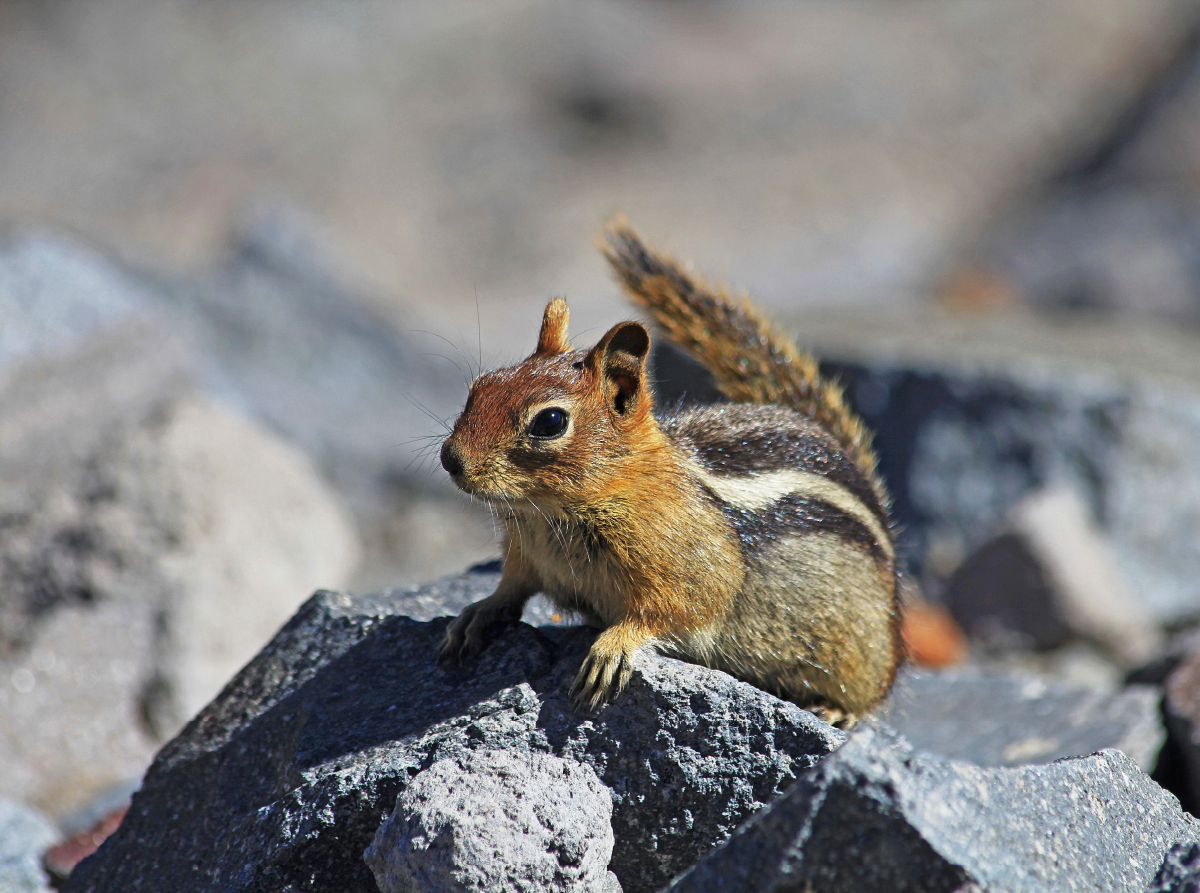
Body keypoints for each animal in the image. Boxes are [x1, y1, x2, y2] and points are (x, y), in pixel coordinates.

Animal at [436, 223, 897, 724]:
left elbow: (674, 611)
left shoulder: (690, 570)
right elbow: (511, 587)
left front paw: (612, 648)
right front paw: (477, 612)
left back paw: (835, 710)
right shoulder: (526, 554)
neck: (551, 511)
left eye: (550, 422)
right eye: (481, 386)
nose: (451, 460)